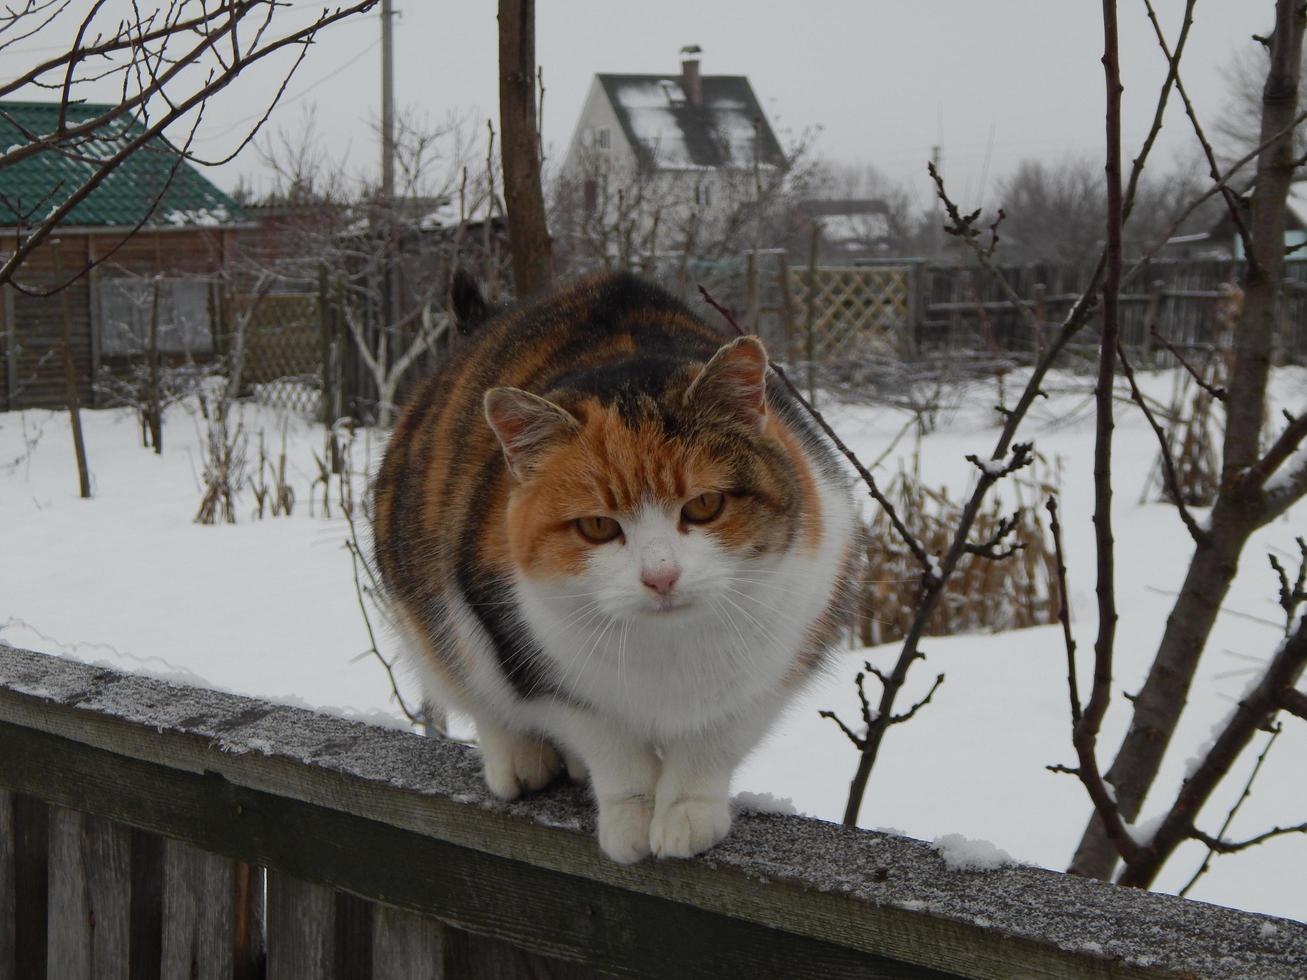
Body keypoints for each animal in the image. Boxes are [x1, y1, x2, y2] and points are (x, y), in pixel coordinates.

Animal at [373, 273, 852, 862]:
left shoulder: (784, 655)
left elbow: (714, 740)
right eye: (598, 526)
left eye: (704, 505)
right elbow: (608, 743)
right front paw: (631, 819)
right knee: (466, 676)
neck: (669, 652)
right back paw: (520, 761)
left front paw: (686, 815)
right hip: (423, 589)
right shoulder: (532, 659)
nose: (661, 576)